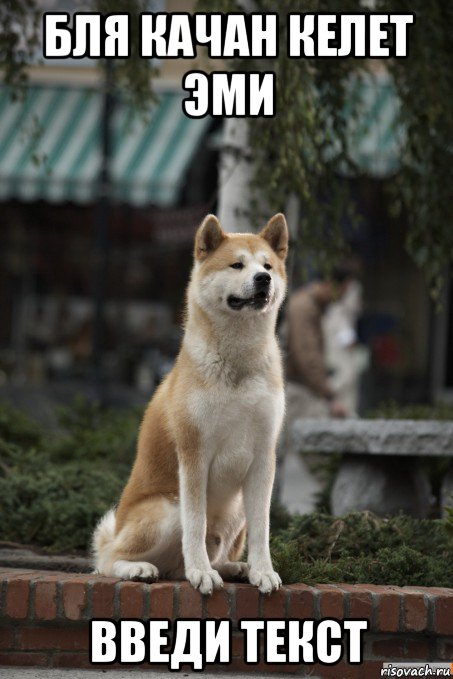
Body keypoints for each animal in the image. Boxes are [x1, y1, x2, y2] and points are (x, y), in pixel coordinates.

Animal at [93, 212, 288, 596]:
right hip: (167, 508)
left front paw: (263, 571)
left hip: (236, 509)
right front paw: (201, 573)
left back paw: (235, 568)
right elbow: (195, 526)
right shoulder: (194, 454)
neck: (237, 364)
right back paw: (142, 568)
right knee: (108, 560)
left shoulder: (263, 457)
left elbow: (262, 530)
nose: (263, 279)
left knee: (203, 558)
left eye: (268, 266)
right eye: (237, 264)